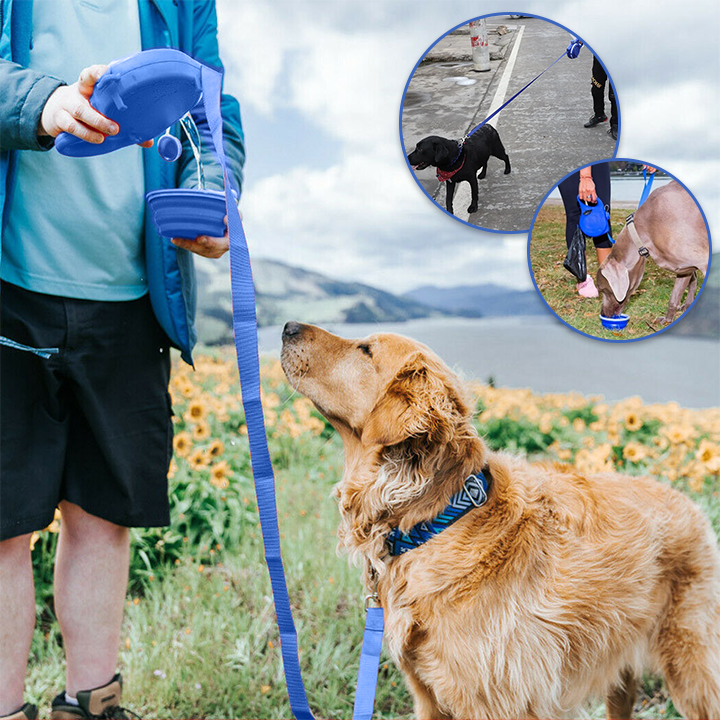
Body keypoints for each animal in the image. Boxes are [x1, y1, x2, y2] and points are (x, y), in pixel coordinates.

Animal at [280, 324, 720, 720]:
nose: (287, 327)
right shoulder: (428, 697)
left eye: (365, 349)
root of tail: (690, 502)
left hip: (692, 668)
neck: (435, 521)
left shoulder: (498, 702)